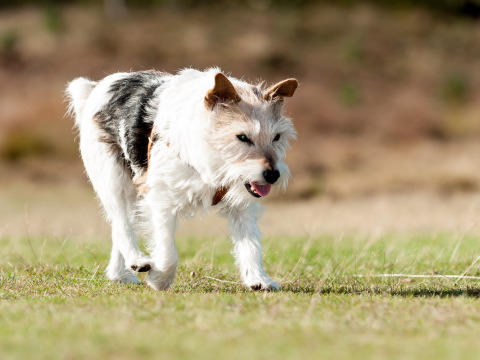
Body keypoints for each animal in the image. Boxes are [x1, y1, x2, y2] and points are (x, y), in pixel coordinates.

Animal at [65, 67, 298, 292]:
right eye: (242, 137)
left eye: (277, 137)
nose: (273, 175)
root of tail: (96, 87)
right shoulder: (161, 200)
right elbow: (167, 249)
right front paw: (159, 279)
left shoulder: (242, 208)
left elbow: (251, 244)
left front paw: (258, 279)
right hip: (115, 183)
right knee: (122, 225)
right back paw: (137, 260)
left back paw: (120, 274)